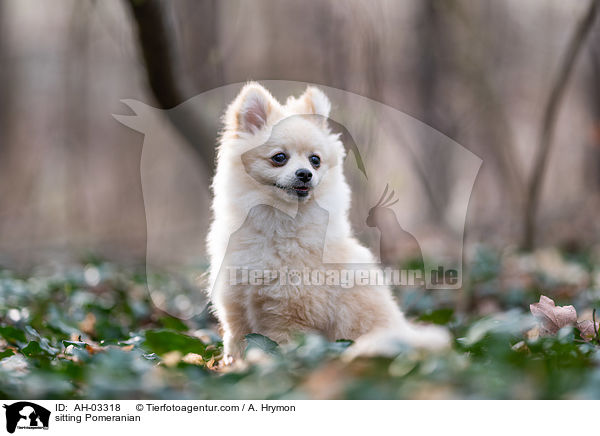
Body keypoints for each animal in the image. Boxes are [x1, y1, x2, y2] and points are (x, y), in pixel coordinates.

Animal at [206, 82, 450, 362]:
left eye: (315, 160)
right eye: (279, 157)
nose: (305, 174)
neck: (276, 225)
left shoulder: (290, 319)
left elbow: (281, 352)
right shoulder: (236, 311)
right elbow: (235, 346)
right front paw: (232, 366)